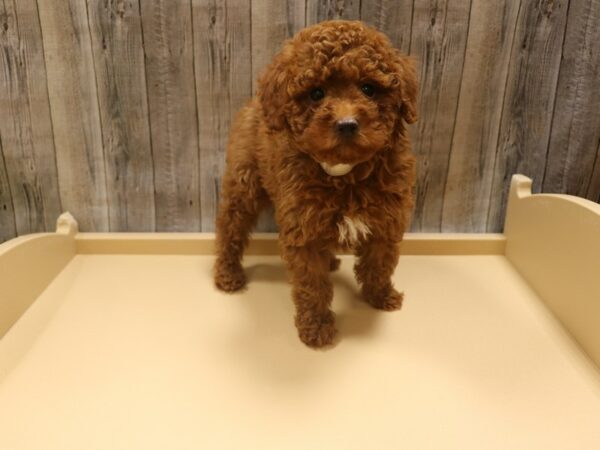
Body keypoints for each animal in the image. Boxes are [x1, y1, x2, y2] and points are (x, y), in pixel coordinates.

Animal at [214, 20, 418, 348]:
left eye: (369, 88)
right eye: (316, 93)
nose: (347, 124)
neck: (345, 173)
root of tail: (255, 101)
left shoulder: (387, 220)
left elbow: (379, 263)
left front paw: (381, 296)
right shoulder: (304, 231)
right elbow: (312, 284)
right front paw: (317, 328)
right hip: (243, 182)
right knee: (230, 227)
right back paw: (227, 275)